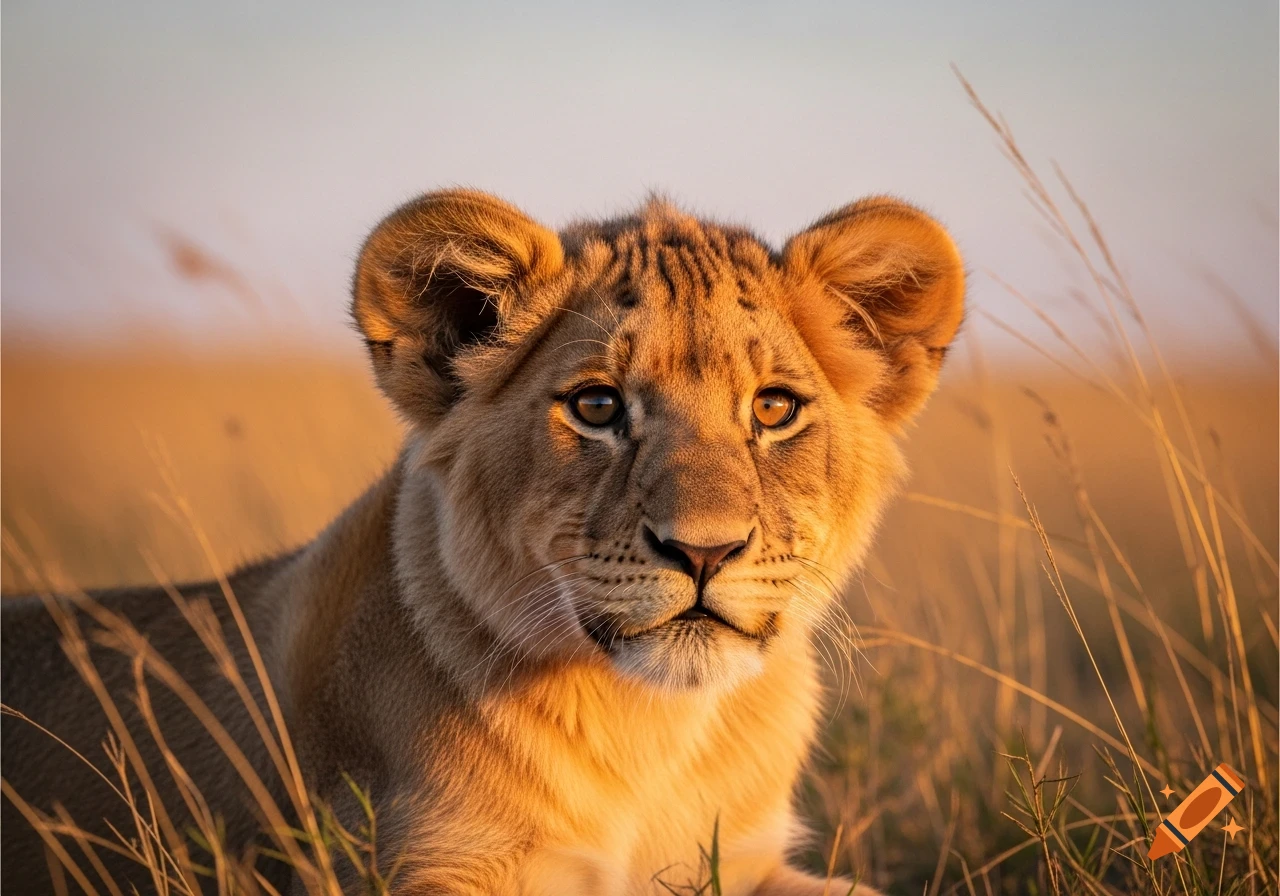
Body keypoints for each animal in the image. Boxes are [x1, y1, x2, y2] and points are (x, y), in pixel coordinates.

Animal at [2, 189, 964, 895]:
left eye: (773, 408)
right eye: (597, 406)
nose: (704, 552)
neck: (653, 733)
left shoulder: (749, 861)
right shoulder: (426, 863)